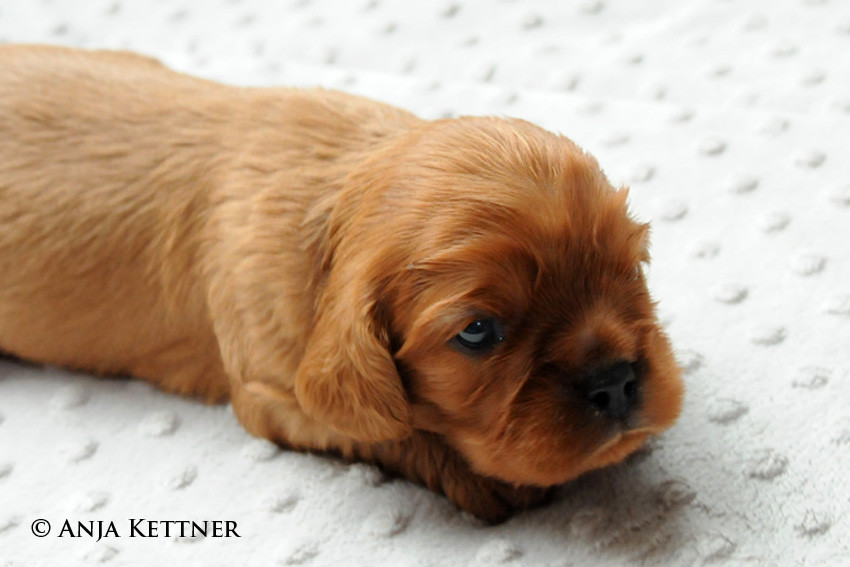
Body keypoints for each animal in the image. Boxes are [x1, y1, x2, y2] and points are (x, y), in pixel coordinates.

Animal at [0, 45, 684, 524]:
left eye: (630, 269)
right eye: (477, 332)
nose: (615, 381)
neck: (330, 200)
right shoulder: (269, 389)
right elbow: (384, 430)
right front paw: (488, 480)